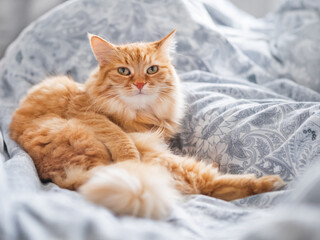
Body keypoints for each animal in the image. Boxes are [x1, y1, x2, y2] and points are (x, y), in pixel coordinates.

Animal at [8, 30, 282, 219]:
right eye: (124, 71)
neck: (142, 113)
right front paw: (128, 155)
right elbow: (117, 134)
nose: (140, 84)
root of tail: (68, 176)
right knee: (205, 184)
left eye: (151, 70)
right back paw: (271, 182)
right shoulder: (85, 111)